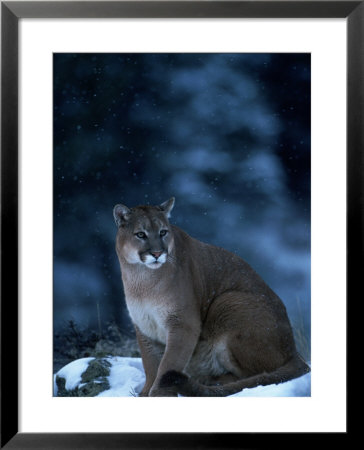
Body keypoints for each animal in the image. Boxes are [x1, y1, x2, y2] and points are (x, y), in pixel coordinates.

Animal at [114, 199, 310, 396]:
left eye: (163, 232)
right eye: (140, 234)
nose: (157, 253)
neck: (143, 280)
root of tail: (294, 350)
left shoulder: (183, 323)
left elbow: (167, 363)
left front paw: (159, 393)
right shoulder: (144, 326)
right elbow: (150, 364)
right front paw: (145, 392)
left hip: (227, 302)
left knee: (256, 377)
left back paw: (211, 383)